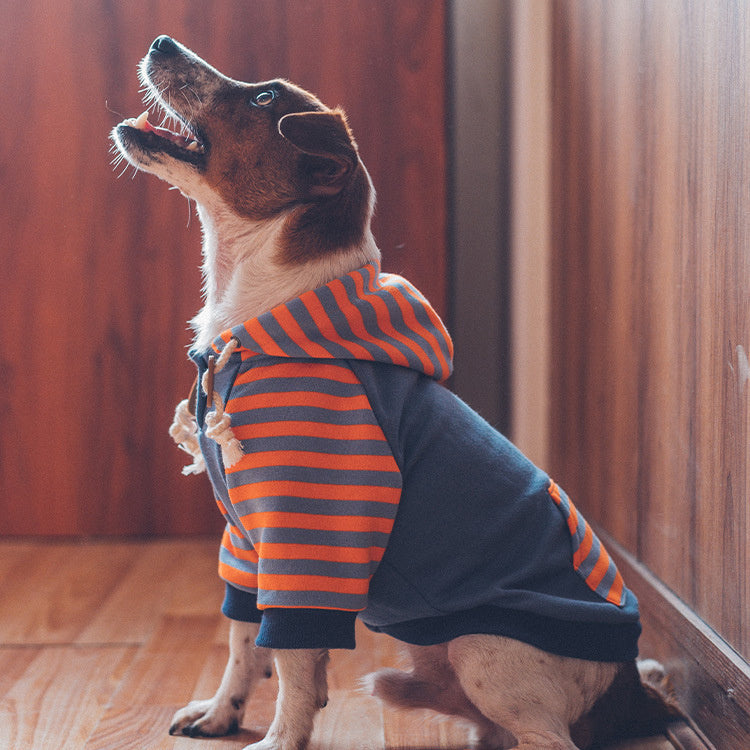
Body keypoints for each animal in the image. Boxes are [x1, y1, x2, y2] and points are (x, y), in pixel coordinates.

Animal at [113, 36, 680, 750]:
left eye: (264, 97)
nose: (161, 41)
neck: (258, 309)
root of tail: (632, 691)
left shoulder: (306, 540)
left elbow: (292, 666)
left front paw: (279, 737)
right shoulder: (247, 543)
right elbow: (245, 641)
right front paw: (221, 713)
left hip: (485, 650)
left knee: (550, 738)